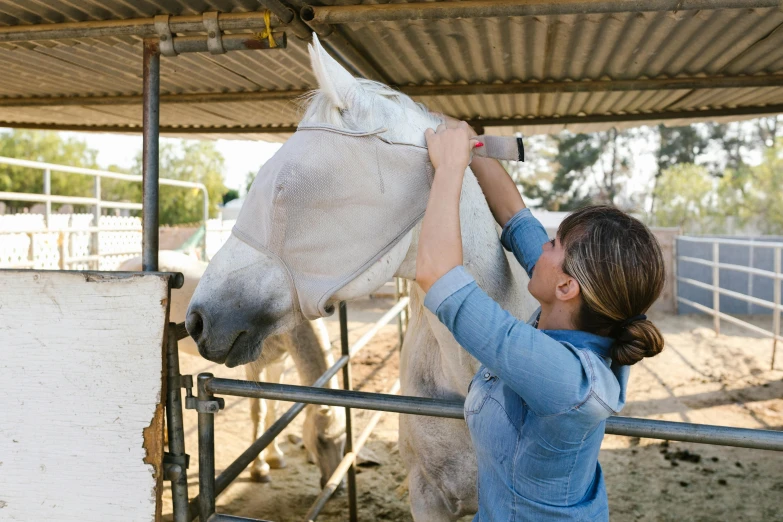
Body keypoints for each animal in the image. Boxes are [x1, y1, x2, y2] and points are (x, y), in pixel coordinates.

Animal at [118, 250, 346, 486]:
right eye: (321, 440)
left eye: (344, 442)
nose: (336, 486)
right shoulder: (254, 367)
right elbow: (259, 412)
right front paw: (259, 469)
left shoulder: (278, 363)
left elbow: (273, 409)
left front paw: (275, 457)